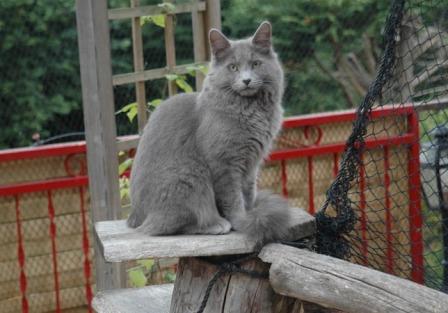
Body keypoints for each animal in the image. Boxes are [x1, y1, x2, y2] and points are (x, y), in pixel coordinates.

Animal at [128, 21, 292, 246]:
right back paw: (216, 224)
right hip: (191, 176)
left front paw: (251, 213)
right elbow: (233, 198)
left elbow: (248, 193)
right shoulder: (225, 163)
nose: (246, 80)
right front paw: (242, 221)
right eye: (233, 67)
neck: (251, 111)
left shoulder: (251, 164)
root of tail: (134, 218)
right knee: (165, 226)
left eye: (256, 64)